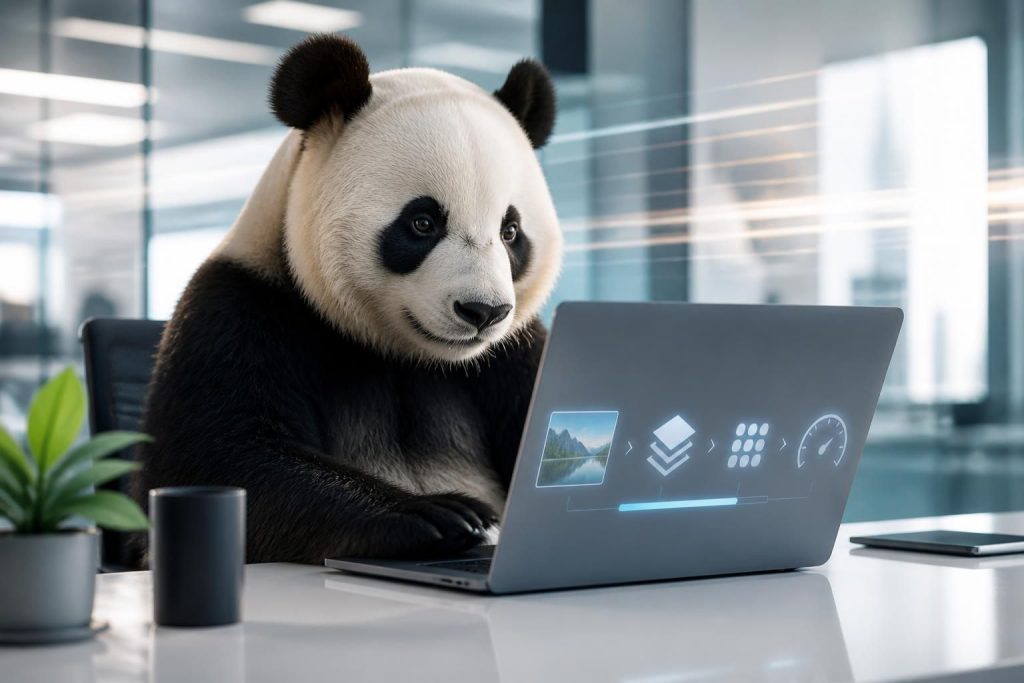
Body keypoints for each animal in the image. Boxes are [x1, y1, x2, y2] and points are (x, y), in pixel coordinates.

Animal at [134, 34, 562, 565]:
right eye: (423, 222)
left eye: (510, 232)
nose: (483, 312)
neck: (398, 353)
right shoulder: (241, 309)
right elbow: (214, 459)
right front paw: (439, 513)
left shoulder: (515, 353)